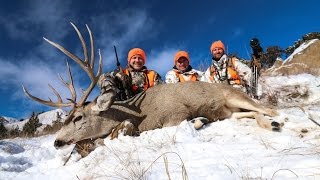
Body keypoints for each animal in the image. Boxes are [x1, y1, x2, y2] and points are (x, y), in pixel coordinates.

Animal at [23, 22, 282, 155]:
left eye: (78, 117)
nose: (57, 142)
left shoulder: (175, 113)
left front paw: (198, 120)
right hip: (230, 111)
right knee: (253, 114)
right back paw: (270, 125)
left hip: (234, 95)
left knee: (270, 109)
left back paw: (278, 122)